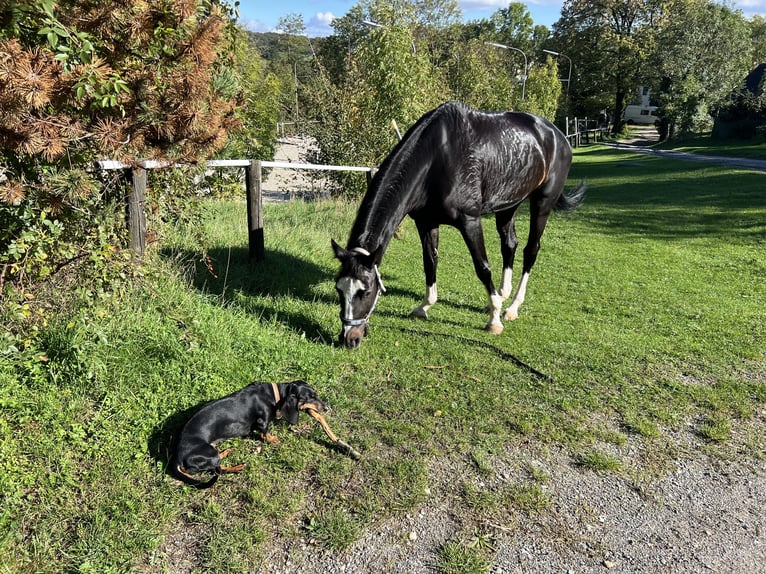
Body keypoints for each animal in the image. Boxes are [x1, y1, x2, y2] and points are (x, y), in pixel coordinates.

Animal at [171, 382, 328, 490]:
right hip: (210, 453)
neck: (274, 395)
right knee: (218, 470)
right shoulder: (262, 422)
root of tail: (178, 457)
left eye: (316, 395)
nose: (327, 408)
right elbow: (265, 434)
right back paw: (238, 467)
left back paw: (226, 452)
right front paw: (273, 439)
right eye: (310, 398)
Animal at [332, 101, 588, 348]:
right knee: (509, 244)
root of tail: (557, 135)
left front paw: (494, 321)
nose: (350, 338)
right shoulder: (426, 222)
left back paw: (511, 307)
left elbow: (482, 267)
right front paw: (424, 307)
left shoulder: (469, 221)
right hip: (508, 204)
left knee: (530, 250)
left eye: (365, 292)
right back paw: (501, 294)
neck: (436, 158)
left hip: (542, 204)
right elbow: (430, 262)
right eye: (338, 289)